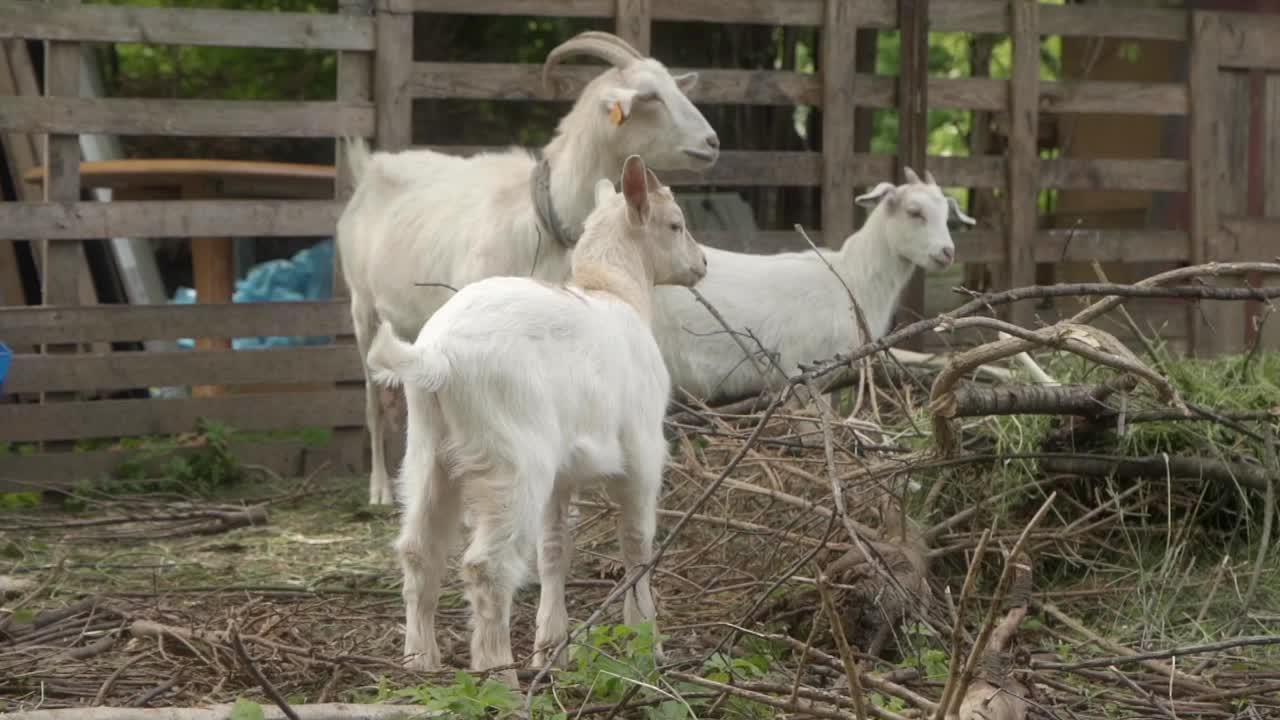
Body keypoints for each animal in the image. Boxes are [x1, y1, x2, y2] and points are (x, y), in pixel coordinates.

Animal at [340, 30, 721, 504]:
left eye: (674, 84)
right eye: (650, 95)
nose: (712, 142)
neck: (542, 215)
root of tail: (369, 167)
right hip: (362, 306)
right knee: (372, 398)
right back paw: (379, 489)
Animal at [366, 155, 706, 676]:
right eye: (676, 224)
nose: (702, 264)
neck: (617, 294)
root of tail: (436, 357)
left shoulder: (563, 475)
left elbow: (554, 550)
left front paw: (551, 646)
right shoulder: (644, 452)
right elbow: (637, 543)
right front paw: (646, 643)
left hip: (427, 450)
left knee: (418, 550)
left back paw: (420, 660)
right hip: (513, 458)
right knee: (485, 566)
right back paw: (497, 672)